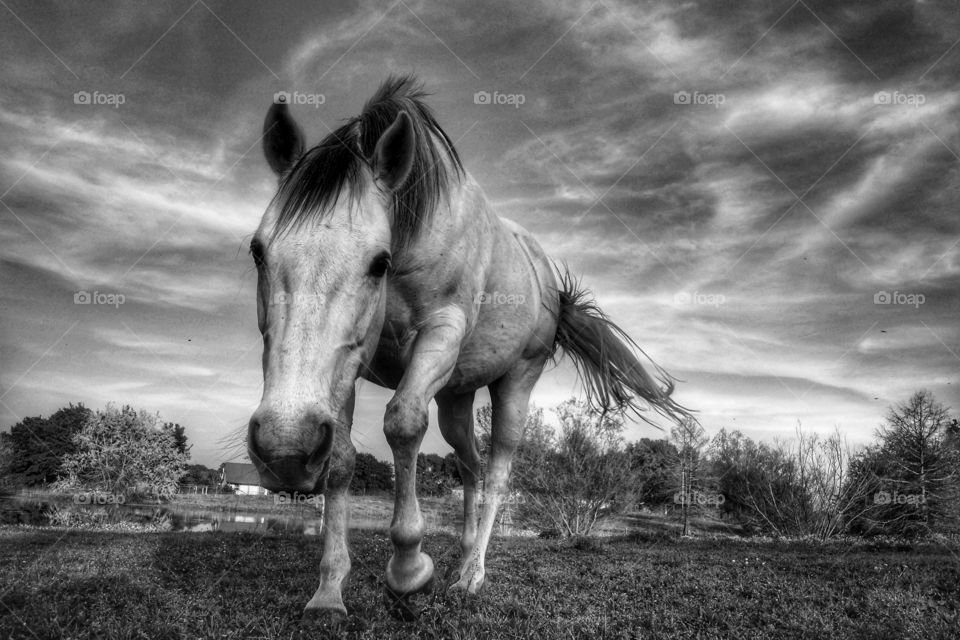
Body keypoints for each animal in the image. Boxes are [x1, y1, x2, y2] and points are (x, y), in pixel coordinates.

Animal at [247, 75, 689, 623]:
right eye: (257, 251)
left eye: (379, 262)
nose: (284, 450)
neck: (416, 230)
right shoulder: (344, 368)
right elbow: (343, 461)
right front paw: (329, 590)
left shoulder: (439, 336)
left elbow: (402, 424)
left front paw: (409, 570)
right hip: (454, 398)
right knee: (471, 467)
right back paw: (460, 558)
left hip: (514, 384)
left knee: (496, 472)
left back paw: (472, 576)